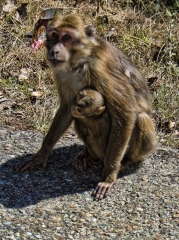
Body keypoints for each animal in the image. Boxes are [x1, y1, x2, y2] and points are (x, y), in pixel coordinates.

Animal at [16, 14, 157, 200]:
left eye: (66, 37)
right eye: (54, 35)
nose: (54, 51)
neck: (80, 60)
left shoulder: (99, 68)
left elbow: (125, 112)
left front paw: (109, 176)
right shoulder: (61, 73)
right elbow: (67, 107)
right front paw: (41, 154)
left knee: (140, 118)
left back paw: (124, 162)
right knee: (80, 120)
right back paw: (87, 155)